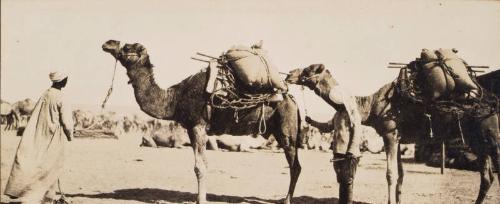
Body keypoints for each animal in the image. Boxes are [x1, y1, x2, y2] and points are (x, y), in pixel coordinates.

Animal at [99, 39, 298, 204]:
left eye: (128, 47)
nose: (108, 43)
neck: (174, 98)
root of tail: (292, 100)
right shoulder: (190, 128)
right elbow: (201, 165)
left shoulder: (199, 125)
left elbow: (200, 167)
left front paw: (201, 200)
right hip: (277, 131)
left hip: (287, 130)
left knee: (295, 166)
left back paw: (286, 200)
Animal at [286, 64, 500, 204]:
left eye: (308, 69)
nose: (289, 75)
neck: (370, 105)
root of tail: (492, 101)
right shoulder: (397, 138)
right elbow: (400, 175)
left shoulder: (389, 133)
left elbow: (390, 174)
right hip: (478, 139)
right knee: (487, 176)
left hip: (491, 135)